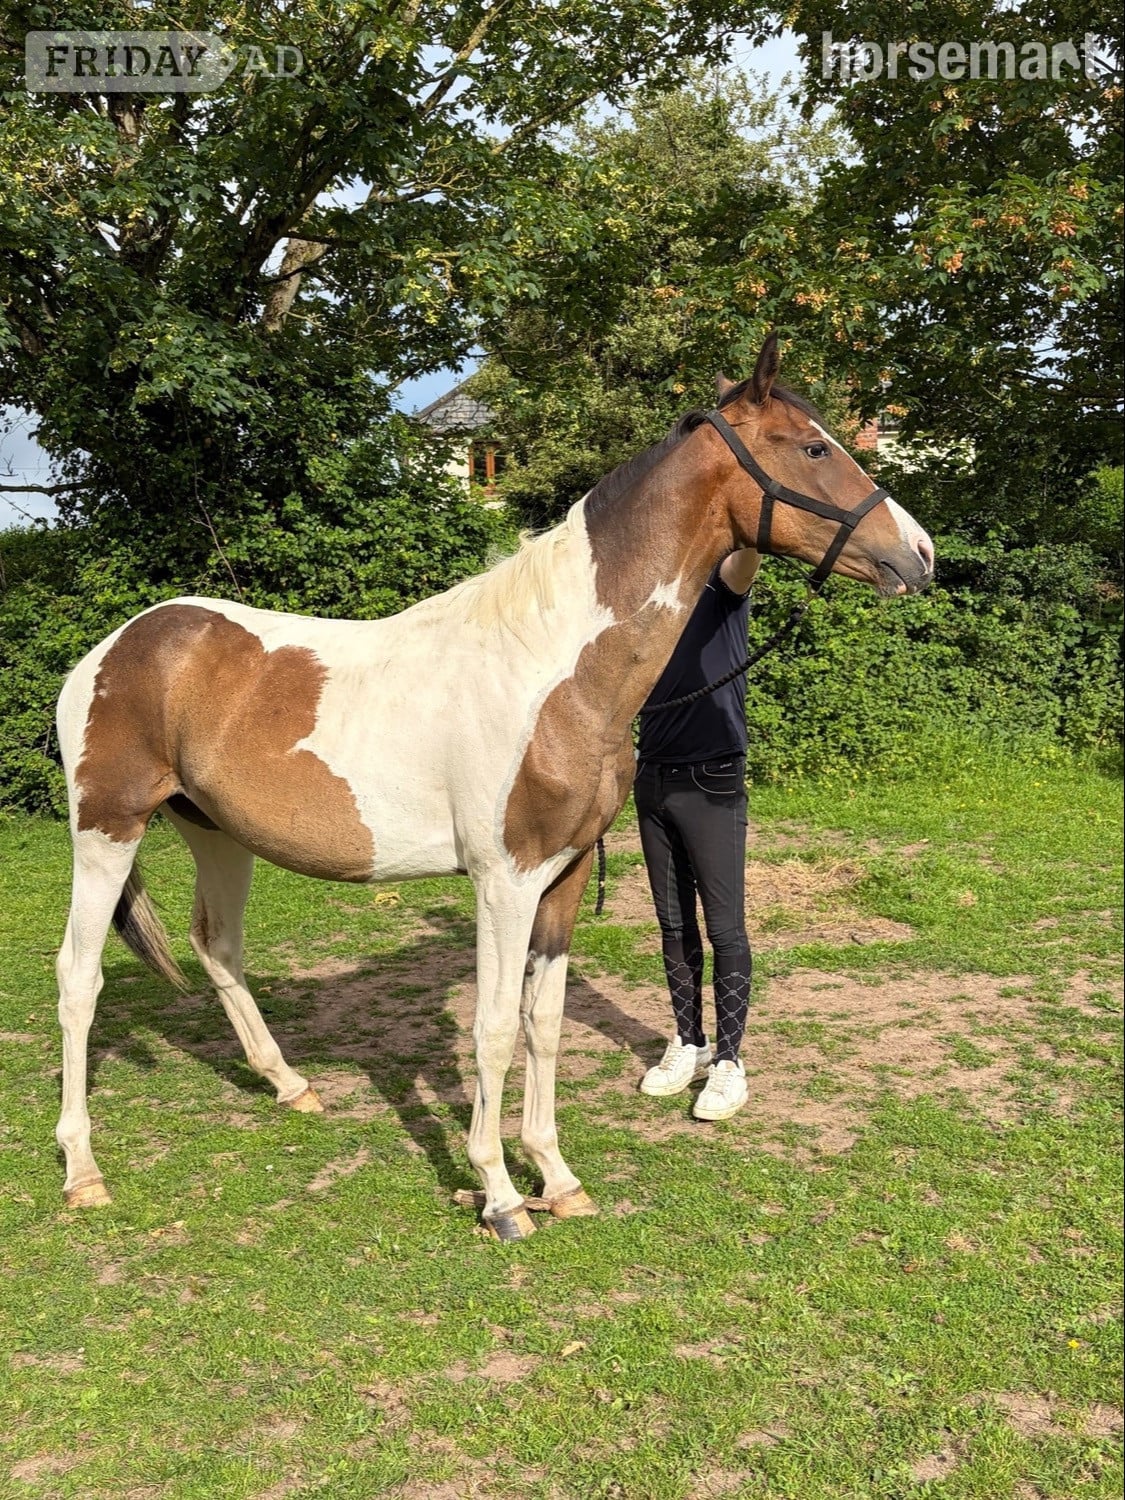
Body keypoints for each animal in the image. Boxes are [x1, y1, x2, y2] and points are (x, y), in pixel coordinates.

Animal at [52, 335, 933, 1240]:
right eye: (813, 448)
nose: (921, 555)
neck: (551, 668)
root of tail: (115, 649)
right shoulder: (503, 882)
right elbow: (495, 1030)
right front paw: (502, 1196)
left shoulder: (563, 876)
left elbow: (543, 1026)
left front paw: (558, 1178)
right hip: (107, 829)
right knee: (78, 978)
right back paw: (83, 1171)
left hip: (216, 834)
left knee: (217, 947)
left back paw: (291, 1087)